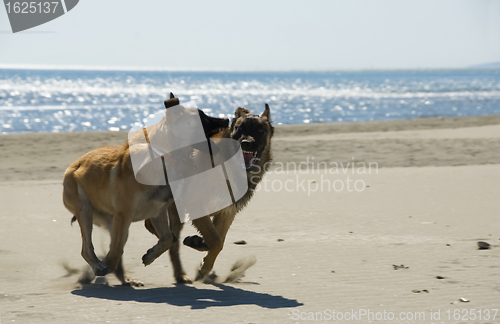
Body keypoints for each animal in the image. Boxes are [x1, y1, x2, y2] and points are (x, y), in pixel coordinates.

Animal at [62, 94, 229, 286]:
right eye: (202, 117)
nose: (227, 119)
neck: (164, 156)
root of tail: (72, 168)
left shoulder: (157, 211)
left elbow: (167, 238)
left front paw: (150, 255)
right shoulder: (124, 215)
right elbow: (116, 250)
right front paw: (104, 267)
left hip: (112, 222)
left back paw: (126, 279)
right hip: (86, 210)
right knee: (87, 248)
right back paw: (100, 267)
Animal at [145, 105, 274, 282]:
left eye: (260, 130)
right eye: (239, 128)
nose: (246, 143)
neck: (228, 165)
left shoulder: (227, 213)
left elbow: (218, 241)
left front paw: (204, 263)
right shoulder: (196, 205)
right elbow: (215, 240)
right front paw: (200, 246)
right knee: (166, 236)